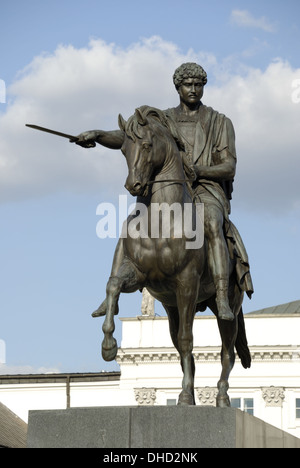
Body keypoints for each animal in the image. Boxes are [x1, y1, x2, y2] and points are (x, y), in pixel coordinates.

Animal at [97, 105, 250, 406]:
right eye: (123, 149)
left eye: (146, 145)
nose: (134, 185)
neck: (161, 220)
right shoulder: (140, 275)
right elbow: (114, 285)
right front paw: (108, 345)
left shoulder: (187, 283)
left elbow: (189, 339)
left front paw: (185, 396)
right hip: (171, 308)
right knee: (180, 346)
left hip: (228, 306)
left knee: (227, 352)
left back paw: (222, 396)